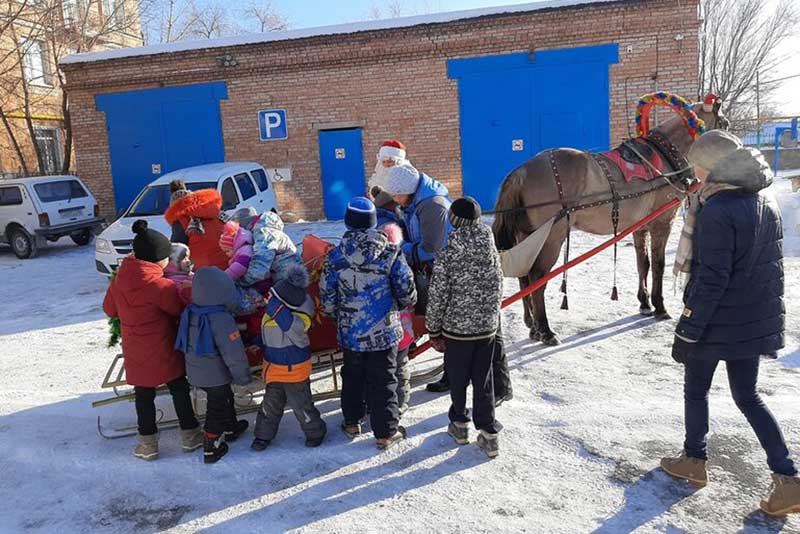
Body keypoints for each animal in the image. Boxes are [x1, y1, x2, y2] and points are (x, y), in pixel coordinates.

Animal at [490, 98, 728, 346]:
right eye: (724, 124)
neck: (664, 158)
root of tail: (522, 170)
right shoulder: (662, 223)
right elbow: (659, 264)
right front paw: (659, 306)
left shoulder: (639, 227)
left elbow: (643, 263)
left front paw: (644, 303)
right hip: (551, 237)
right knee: (537, 277)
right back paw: (545, 330)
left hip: (527, 235)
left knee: (524, 276)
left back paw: (532, 325)